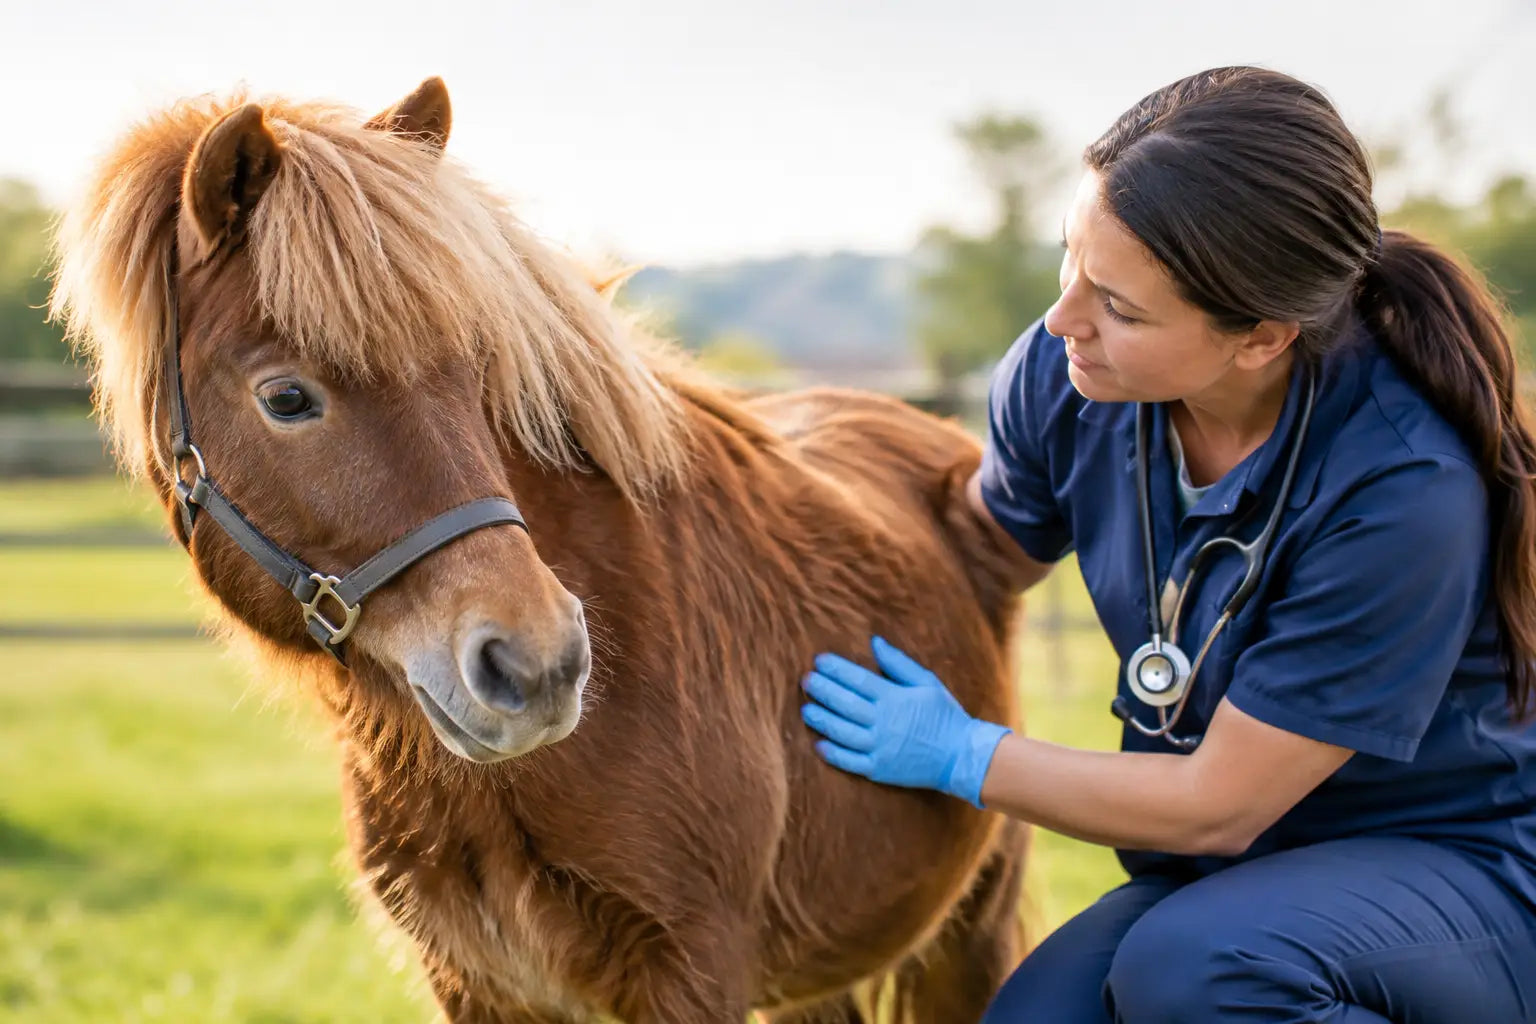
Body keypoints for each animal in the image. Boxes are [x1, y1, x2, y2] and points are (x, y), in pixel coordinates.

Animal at [51, 77, 1034, 1023]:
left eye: (474, 374)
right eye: (286, 398)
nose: (540, 666)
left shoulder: (692, 978)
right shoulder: (477, 987)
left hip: (970, 936)